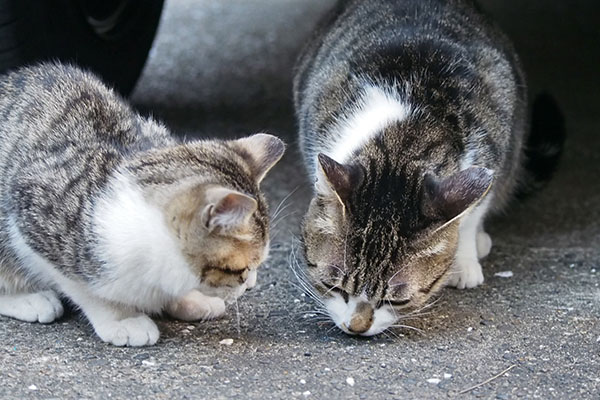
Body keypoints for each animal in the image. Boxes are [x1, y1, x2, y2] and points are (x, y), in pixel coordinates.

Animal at [0, 64, 284, 346]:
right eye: (238, 269)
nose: (251, 285)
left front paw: (186, 300)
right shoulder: (32, 214)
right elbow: (84, 288)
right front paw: (122, 317)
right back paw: (29, 299)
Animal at [292, 0, 564, 338]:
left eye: (396, 300)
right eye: (334, 286)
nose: (356, 327)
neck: (405, 136)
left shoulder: (494, 149)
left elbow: (474, 211)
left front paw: (464, 259)